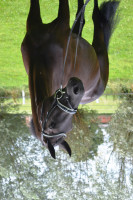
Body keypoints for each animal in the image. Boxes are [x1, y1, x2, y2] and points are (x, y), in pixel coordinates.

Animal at [21, 0, 119, 159]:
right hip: (99, 53)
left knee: (89, 19)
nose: (77, 88)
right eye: (52, 124)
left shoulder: (50, 20)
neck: (39, 57)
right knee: (92, 20)